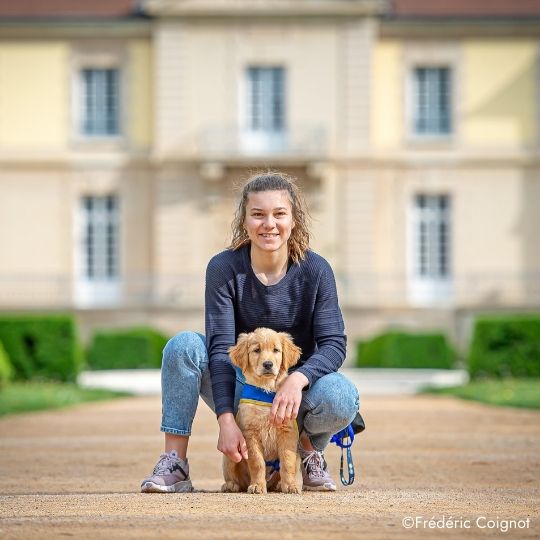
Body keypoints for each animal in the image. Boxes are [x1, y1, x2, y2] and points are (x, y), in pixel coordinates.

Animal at [220, 326, 304, 496]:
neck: (266, 389)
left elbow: (287, 462)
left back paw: (280, 485)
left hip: (298, 454)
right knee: (233, 475)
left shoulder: (288, 432)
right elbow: (257, 462)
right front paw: (258, 486)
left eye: (276, 350)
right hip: (230, 455)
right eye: (256, 350)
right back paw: (231, 485)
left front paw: (290, 485)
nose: (268, 364)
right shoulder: (249, 434)